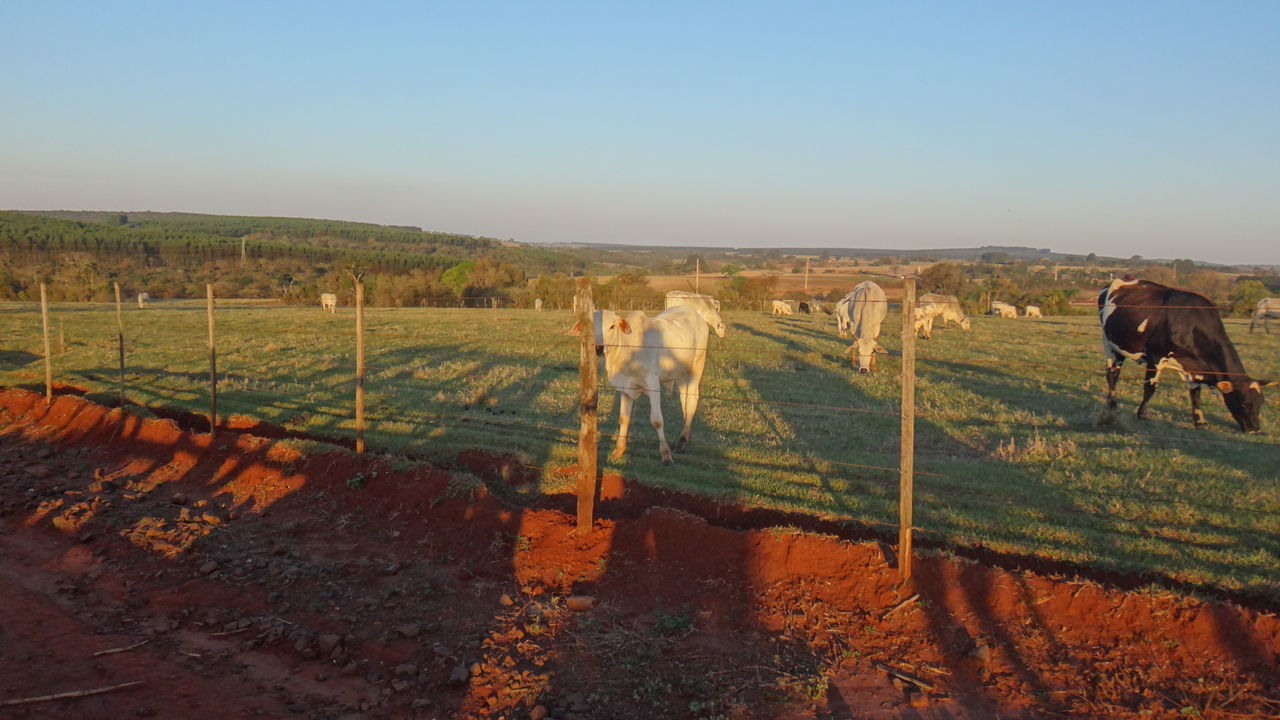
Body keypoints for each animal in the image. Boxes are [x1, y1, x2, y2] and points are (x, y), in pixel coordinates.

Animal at [576, 299, 727, 461]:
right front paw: (619, 450)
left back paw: (682, 441)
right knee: (684, 400)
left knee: (692, 401)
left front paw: (665, 454)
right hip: (680, 373)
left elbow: (657, 421)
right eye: (590, 326)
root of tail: (694, 313)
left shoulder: (653, 383)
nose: (598, 348)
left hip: (696, 367)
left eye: (611, 326)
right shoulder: (626, 387)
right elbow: (624, 418)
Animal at [1095, 275, 1274, 430]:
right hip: (1108, 342)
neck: (1190, 324)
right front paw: (1142, 413)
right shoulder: (1155, 357)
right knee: (1111, 373)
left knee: (1116, 372)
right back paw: (1112, 402)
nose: (1255, 429)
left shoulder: (1195, 366)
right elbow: (1150, 386)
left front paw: (1199, 421)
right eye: (1243, 403)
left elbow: (1195, 393)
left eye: (1261, 403)